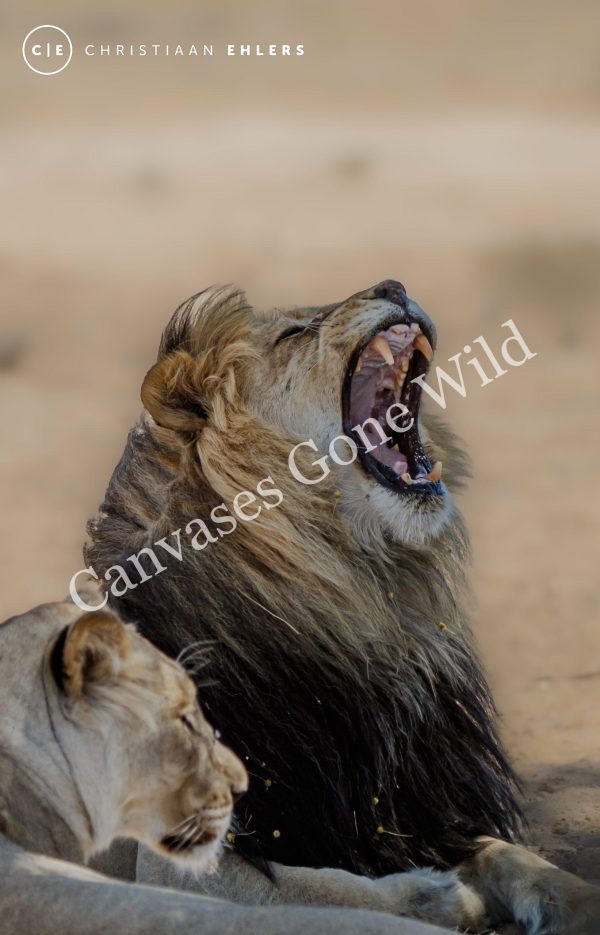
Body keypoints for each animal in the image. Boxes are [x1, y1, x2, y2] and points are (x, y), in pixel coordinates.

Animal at [84, 280, 600, 933]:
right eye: (294, 334)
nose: (393, 286)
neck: (361, 596)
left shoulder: (411, 812)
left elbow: (514, 857)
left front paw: (577, 898)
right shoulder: (178, 861)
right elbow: (319, 891)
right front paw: (442, 897)